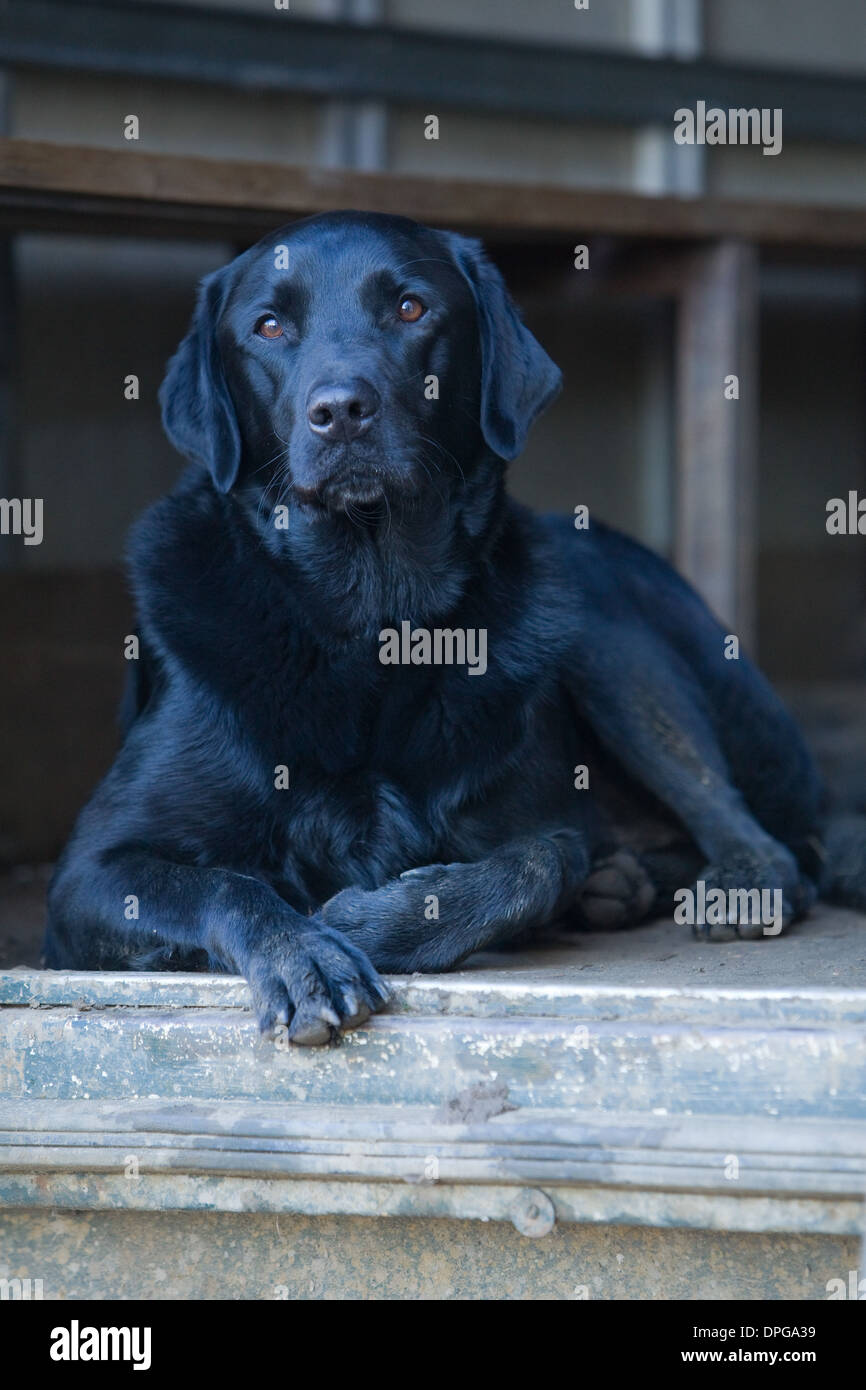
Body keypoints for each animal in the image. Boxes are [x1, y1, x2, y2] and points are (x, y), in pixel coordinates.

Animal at [45, 214, 866, 1045]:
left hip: (603, 635)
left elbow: (539, 864)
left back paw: (728, 881)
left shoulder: (543, 818)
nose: (340, 411)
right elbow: (228, 886)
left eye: (411, 309)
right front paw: (304, 954)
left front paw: (371, 922)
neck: (374, 623)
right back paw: (625, 882)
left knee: (772, 842)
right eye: (268, 327)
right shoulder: (89, 874)